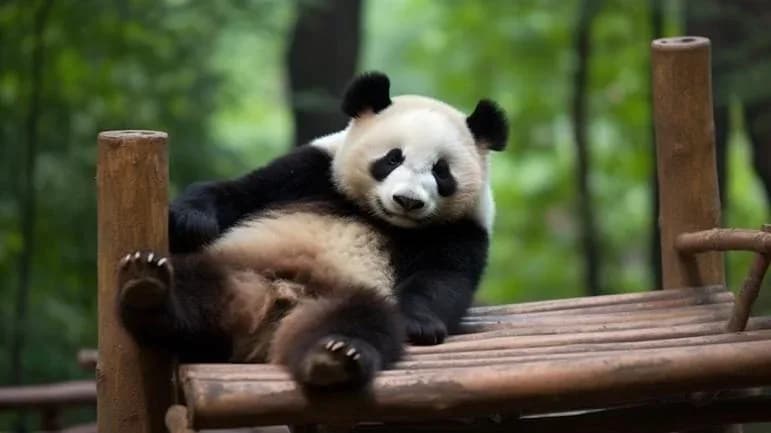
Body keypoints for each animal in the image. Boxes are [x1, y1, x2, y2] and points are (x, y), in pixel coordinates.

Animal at [116, 72, 508, 390]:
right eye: (392, 157)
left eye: (441, 171)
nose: (407, 200)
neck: (378, 218)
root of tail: (269, 307)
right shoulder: (311, 170)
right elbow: (238, 192)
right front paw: (190, 221)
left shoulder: (461, 229)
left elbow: (443, 278)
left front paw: (419, 323)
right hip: (235, 264)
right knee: (190, 283)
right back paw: (148, 288)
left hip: (343, 295)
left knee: (364, 320)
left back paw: (334, 357)